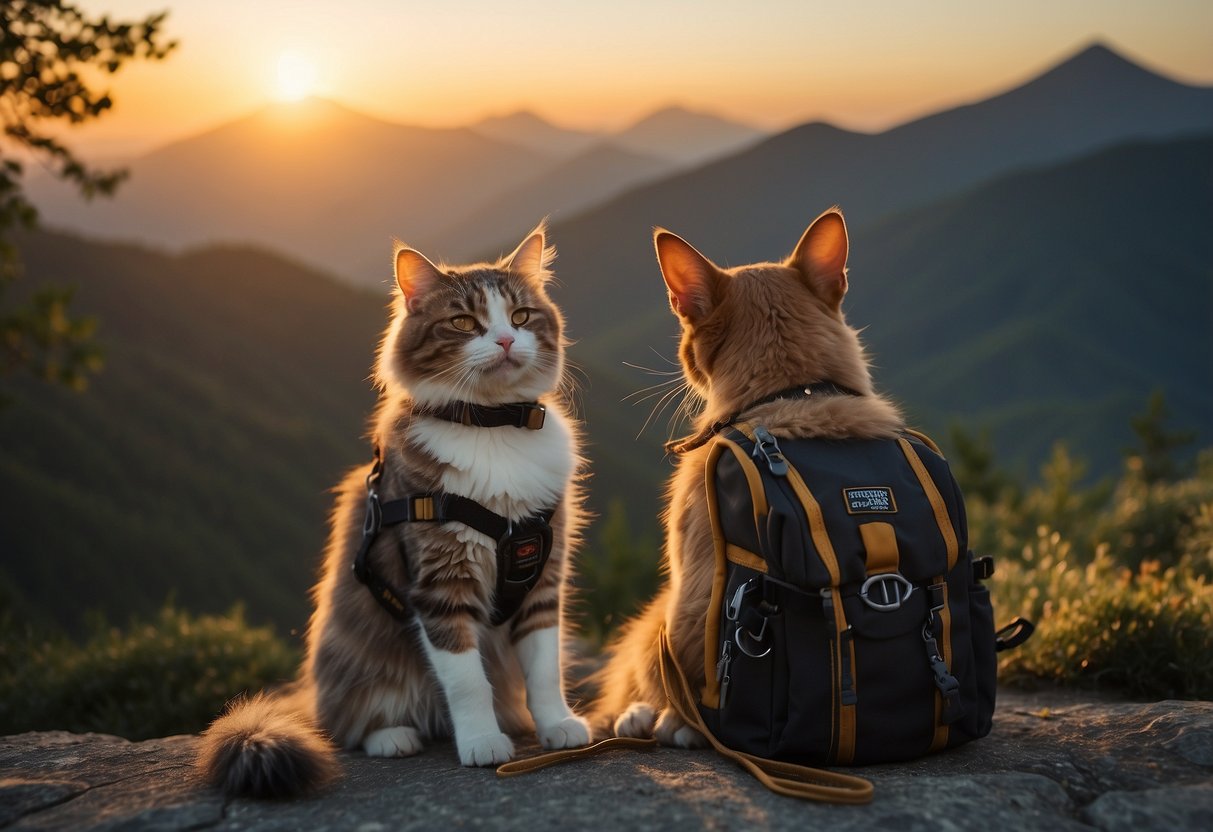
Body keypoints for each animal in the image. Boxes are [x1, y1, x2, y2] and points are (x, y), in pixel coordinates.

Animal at [196, 224, 589, 800]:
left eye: (520, 317)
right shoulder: (440, 583)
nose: (505, 341)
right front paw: (481, 742)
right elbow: (467, 680)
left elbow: (543, 670)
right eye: (464, 322)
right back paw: (394, 736)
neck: (491, 427)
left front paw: (556, 723)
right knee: (348, 725)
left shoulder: (541, 574)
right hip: (356, 663)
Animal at [591, 208, 907, 751]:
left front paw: (679, 722)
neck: (795, 391)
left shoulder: (688, 581)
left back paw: (646, 718)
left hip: (665, 608)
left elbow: (679, 670)